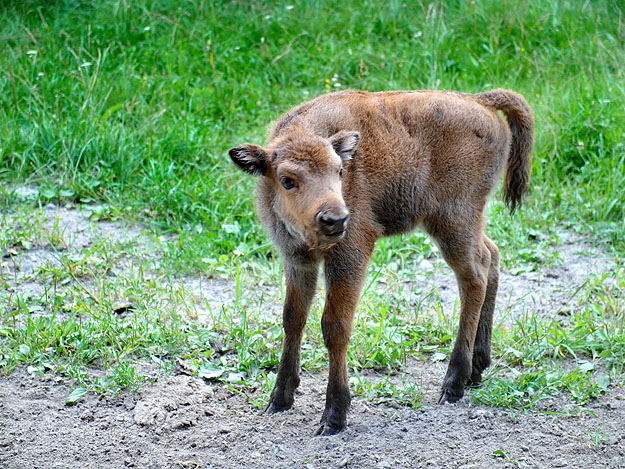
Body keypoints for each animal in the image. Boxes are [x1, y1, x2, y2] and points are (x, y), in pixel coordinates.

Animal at [228, 88, 532, 436]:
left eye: (340, 171)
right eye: (287, 180)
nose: (336, 219)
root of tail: (481, 100)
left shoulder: (350, 255)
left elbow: (334, 326)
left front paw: (334, 416)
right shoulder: (297, 260)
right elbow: (293, 318)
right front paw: (279, 399)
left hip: (453, 221)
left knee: (474, 277)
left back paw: (454, 383)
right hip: (466, 224)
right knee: (491, 257)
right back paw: (477, 369)